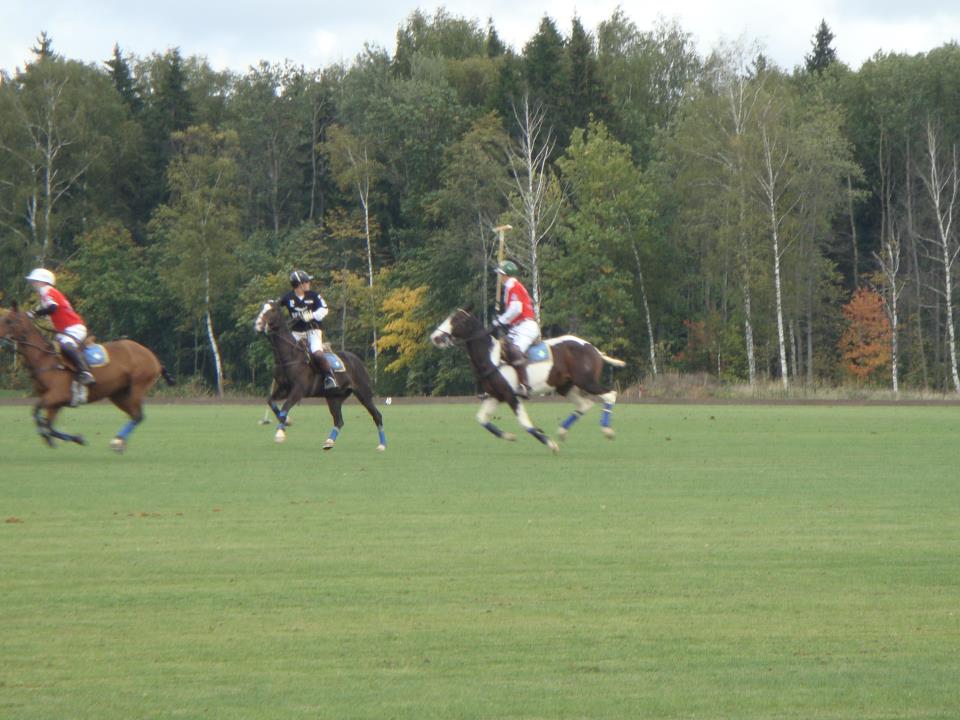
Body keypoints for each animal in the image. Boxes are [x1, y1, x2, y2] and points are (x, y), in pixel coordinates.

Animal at [0, 302, 174, 452]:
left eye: (9, 320)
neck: (44, 358)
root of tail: (154, 358)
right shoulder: (55, 402)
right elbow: (48, 424)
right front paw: (74, 438)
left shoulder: (56, 395)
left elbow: (37, 413)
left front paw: (54, 437)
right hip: (118, 394)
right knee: (134, 415)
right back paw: (120, 441)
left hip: (137, 387)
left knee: (138, 415)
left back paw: (117, 442)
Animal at [254, 300, 385, 451]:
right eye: (262, 308)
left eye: (273, 310)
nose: (258, 325)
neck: (289, 356)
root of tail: (357, 360)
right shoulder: (283, 389)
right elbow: (270, 401)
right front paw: (287, 421)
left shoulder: (298, 390)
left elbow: (285, 407)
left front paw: (280, 433)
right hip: (334, 397)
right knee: (339, 420)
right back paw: (329, 442)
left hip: (363, 392)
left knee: (377, 415)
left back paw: (382, 445)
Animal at [430, 309, 625, 450]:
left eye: (456, 320)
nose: (435, 337)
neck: (491, 357)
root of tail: (593, 348)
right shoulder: (495, 395)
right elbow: (482, 419)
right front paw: (509, 436)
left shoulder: (510, 395)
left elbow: (524, 423)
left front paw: (549, 443)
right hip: (565, 386)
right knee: (585, 404)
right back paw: (562, 432)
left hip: (586, 381)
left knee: (610, 394)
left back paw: (607, 430)